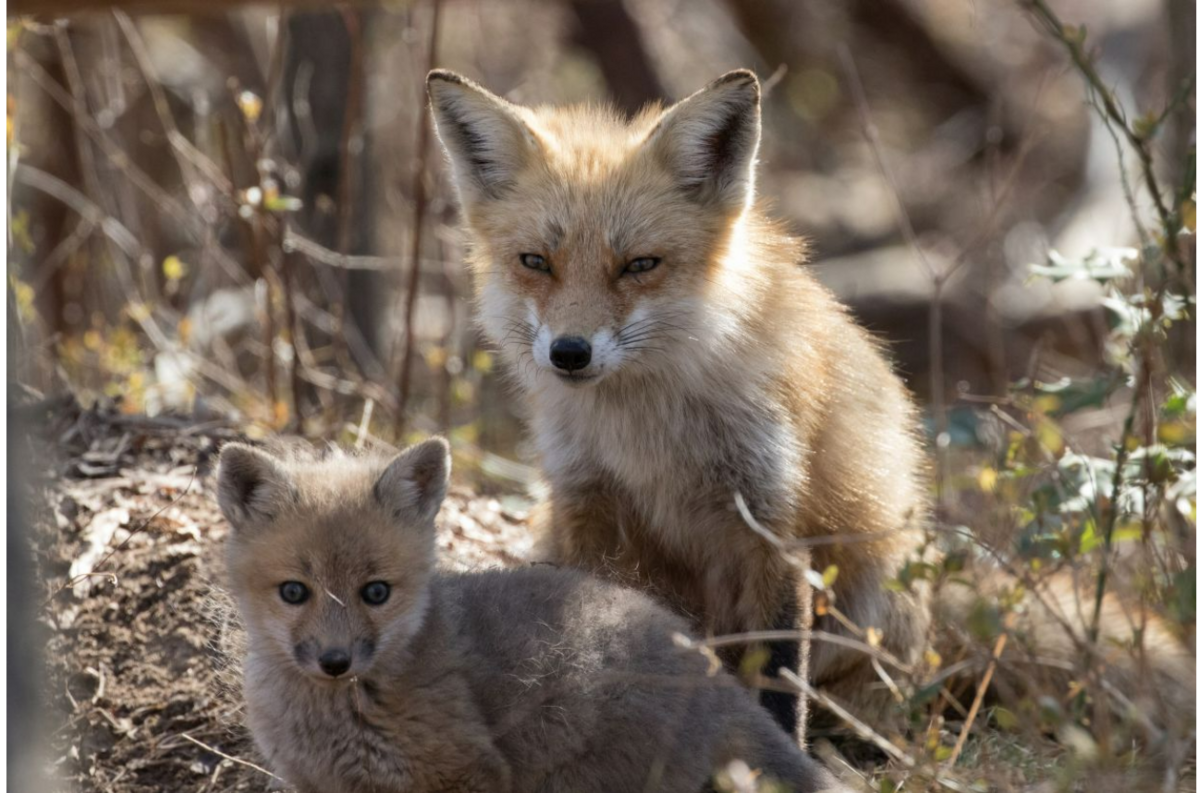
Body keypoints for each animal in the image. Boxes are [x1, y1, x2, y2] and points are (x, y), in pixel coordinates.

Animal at [218, 439, 853, 793]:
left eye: (375, 593)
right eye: (294, 592)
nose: (335, 661)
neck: (332, 719)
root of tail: (706, 666)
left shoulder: (469, 773)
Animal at [426, 68, 1199, 741]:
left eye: (639, 265)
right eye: (536, 262)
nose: (569, 352)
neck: (645, 433)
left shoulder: (771, 523)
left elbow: (778, 677)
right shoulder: (587, 506)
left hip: (874, 585)